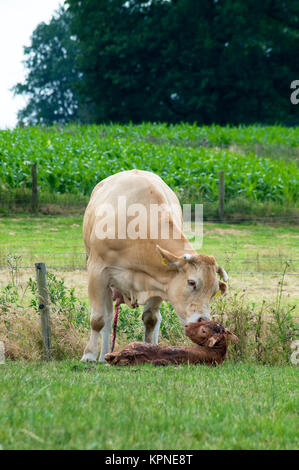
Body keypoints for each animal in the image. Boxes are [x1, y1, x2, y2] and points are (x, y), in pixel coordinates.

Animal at [81, 170, 229, 364]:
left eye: (214, 291)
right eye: (191, 282)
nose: (202, 320)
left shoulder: (159, 280)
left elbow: (151, 319)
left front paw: (151, 348)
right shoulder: (97, 272)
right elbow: (98, 319)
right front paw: (89, 355)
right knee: (107, 317)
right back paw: (102, 355)